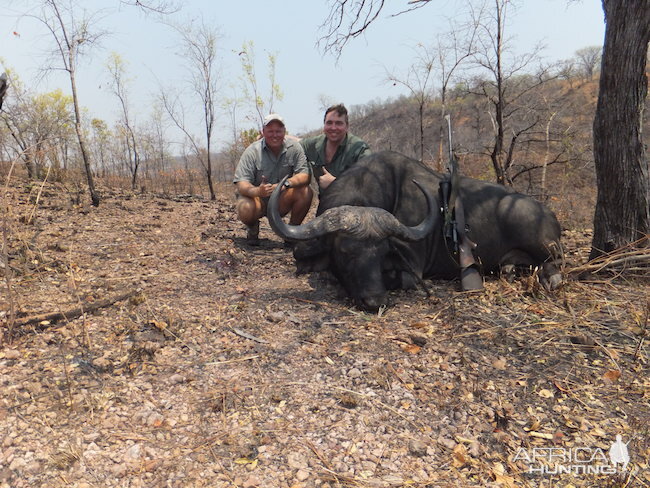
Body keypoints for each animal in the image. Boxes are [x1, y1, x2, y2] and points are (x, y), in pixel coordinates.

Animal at [266, 151, 560, 310]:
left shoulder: (411, 269)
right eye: (346, 252)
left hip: (543, 245)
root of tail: (548, 214)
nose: (375, 301)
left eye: (382, 253)